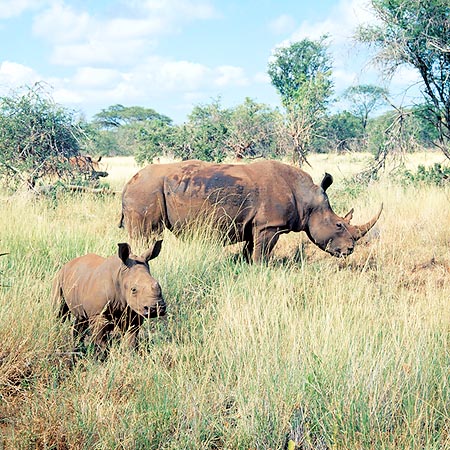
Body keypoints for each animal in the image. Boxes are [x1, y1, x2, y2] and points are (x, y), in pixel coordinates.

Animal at [118, 159, 382, 262]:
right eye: (338, 224)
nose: (350, 250)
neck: (307, 198)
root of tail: (127, 184)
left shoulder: (255, 225)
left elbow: (249, 251)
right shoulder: (270, 226)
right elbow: (261, 255)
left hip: (146, 190)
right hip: (145, 191)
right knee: (146, 235)